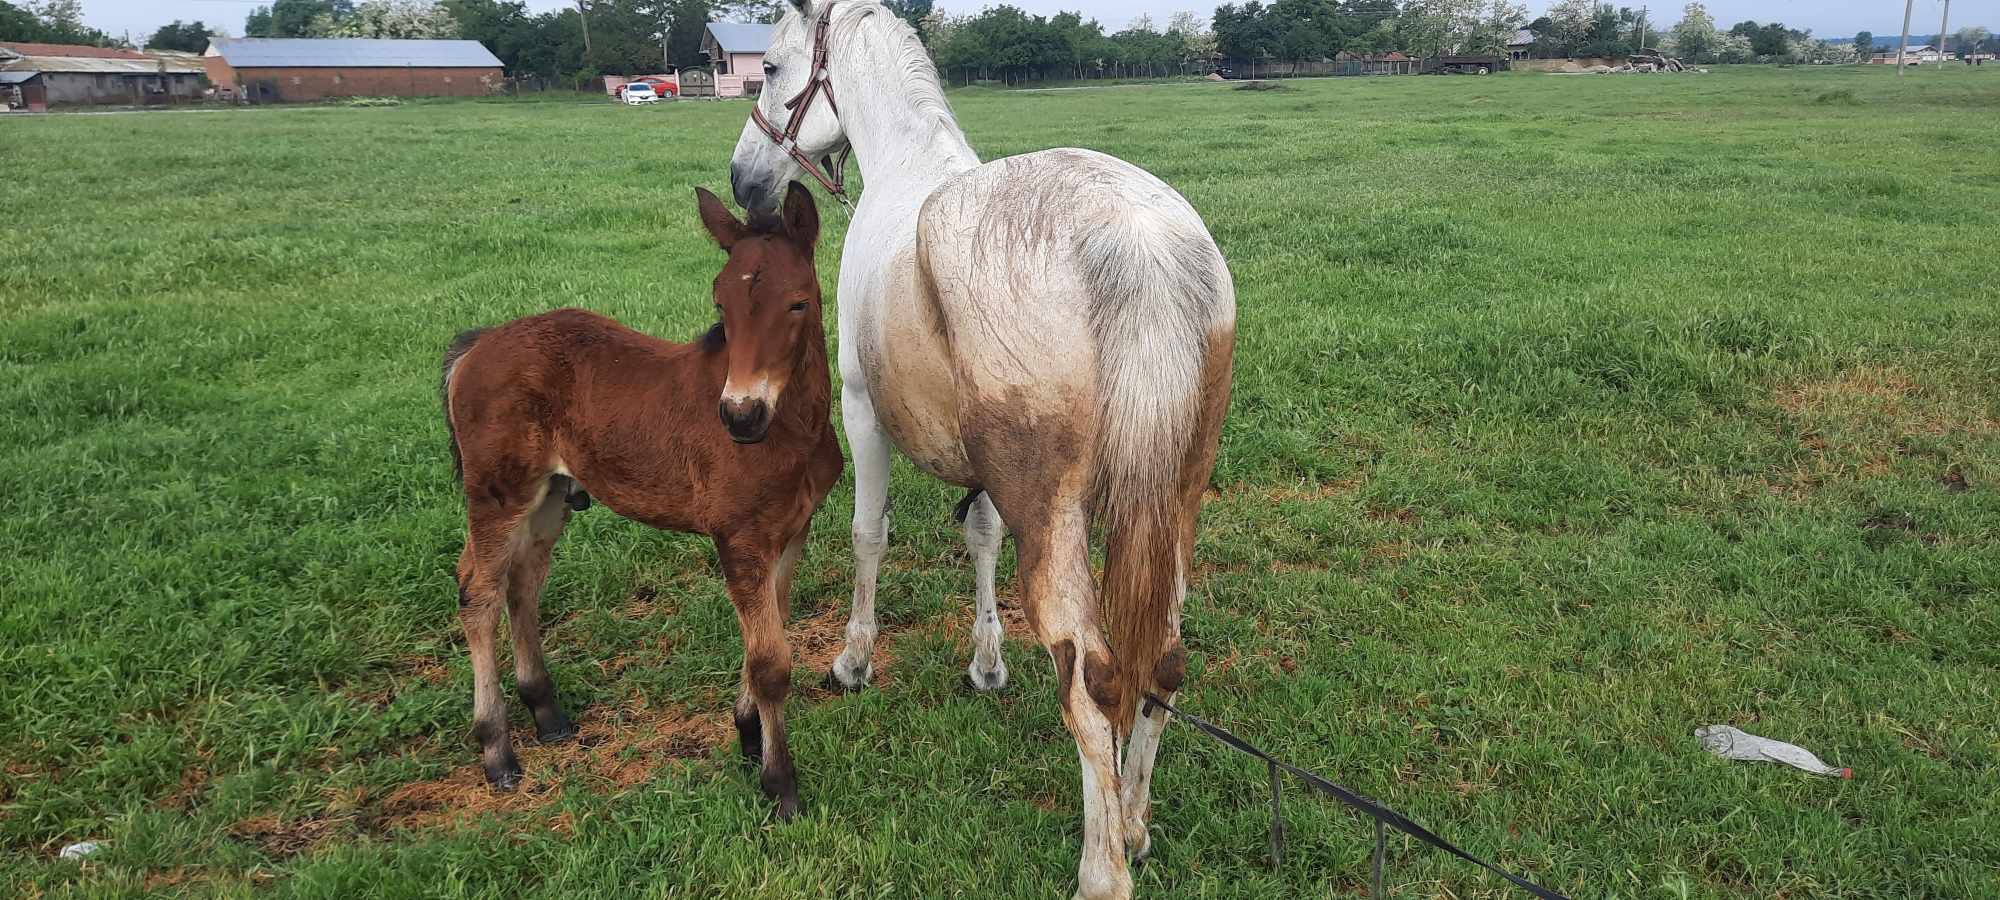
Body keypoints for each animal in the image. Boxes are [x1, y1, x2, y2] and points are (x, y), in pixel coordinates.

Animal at [442, 183, 840, 816]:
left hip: (549, 494)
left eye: (798, 303)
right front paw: (780, 786)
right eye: (721, 305)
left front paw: (749, 734)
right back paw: (497, 751)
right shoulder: (740, 537)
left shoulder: (791, 529)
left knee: (521, 581)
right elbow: (770, 662)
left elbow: (770, 632)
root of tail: (477, 346)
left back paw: (546, 712)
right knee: (479, 591)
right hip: (498, 492)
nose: (739, 415)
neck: (787, 429)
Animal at [728, 3, 1232, 896]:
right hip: (1176, 501)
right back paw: (1135, 824)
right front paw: (987, 662)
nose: (744, 182)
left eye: (774, 69)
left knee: (1091, 678)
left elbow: (868, 536)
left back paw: (1102, 865)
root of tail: (1136, 240)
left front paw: (853, 661)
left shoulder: (862, 411)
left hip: (1056, 520)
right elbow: (981, 537)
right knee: (1163, 661)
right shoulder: (990, 474)